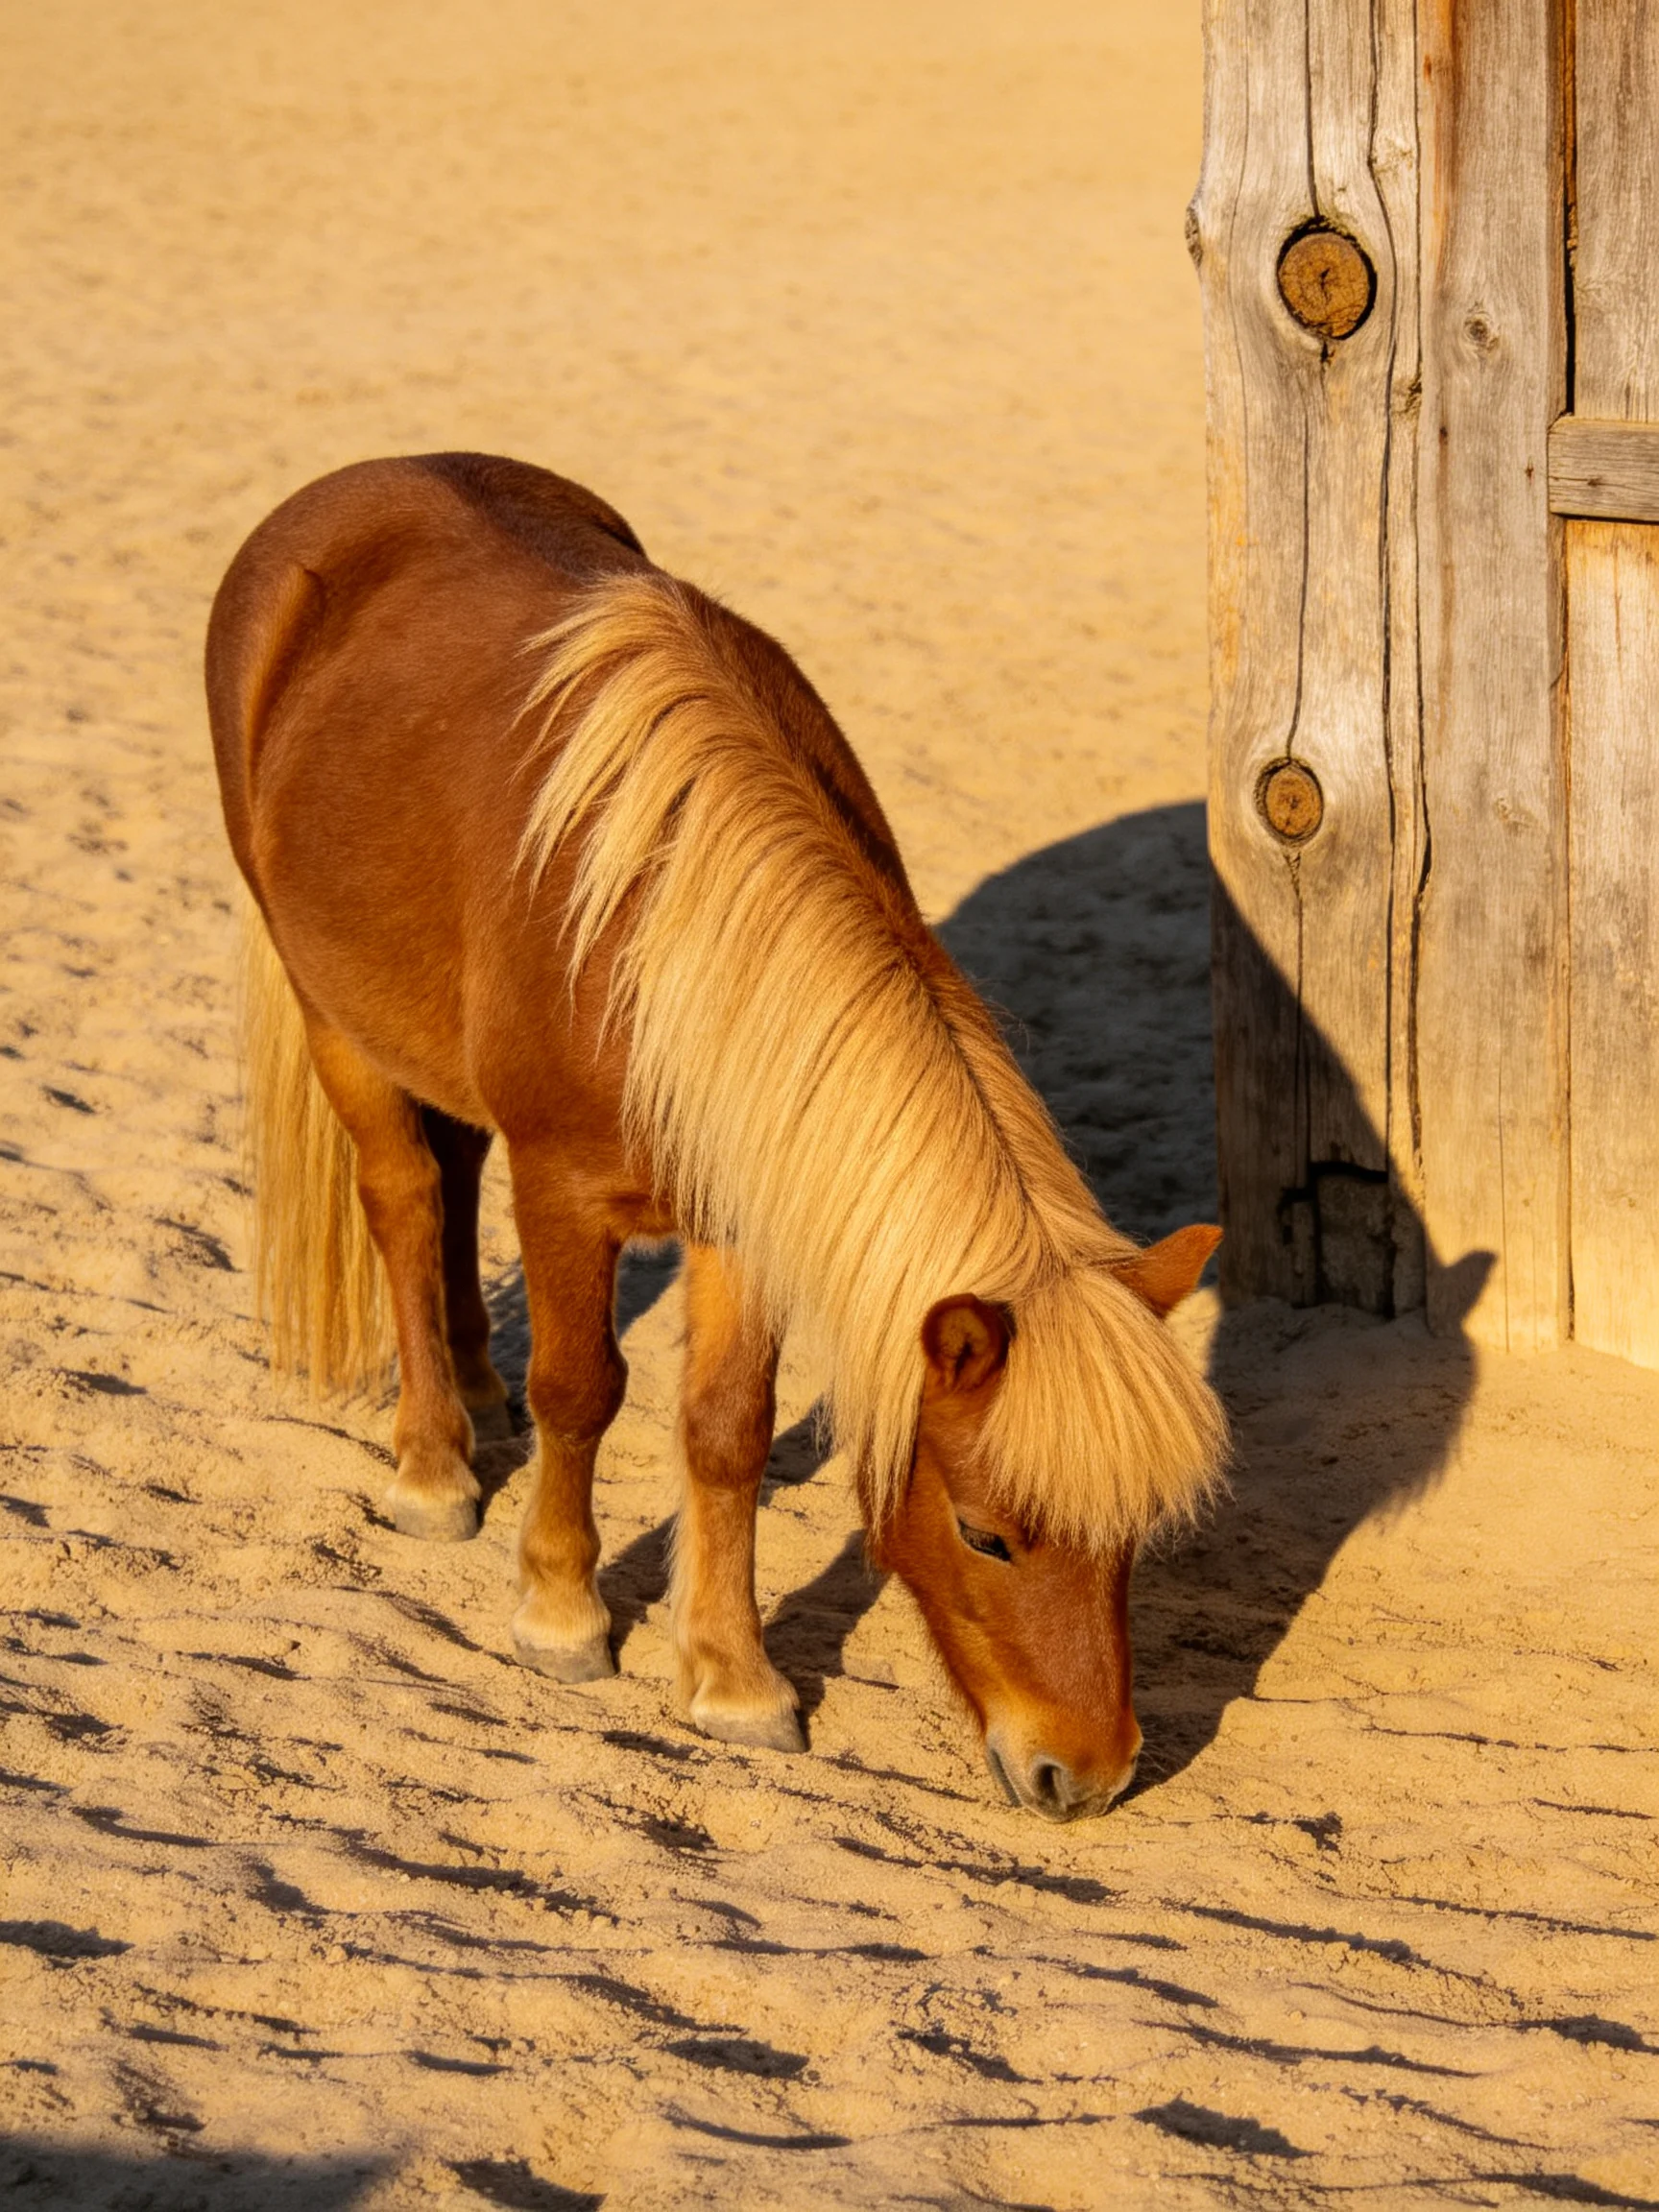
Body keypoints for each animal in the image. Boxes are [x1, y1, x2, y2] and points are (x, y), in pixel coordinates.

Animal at [207, 453, 1226, 1820]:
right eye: (986, 1533)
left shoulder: (742, 1211)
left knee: (454, 1180)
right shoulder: (568, 1189)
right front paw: (562, 1614)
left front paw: (734, 1679)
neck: (666, 938)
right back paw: (433, 1463)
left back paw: (475, 1396)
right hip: (337, 1019)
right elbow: (584, 1391)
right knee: (407, 1197)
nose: (1089, 1777)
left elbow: (727, 1433)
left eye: (1133, 1537)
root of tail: (346, 489)